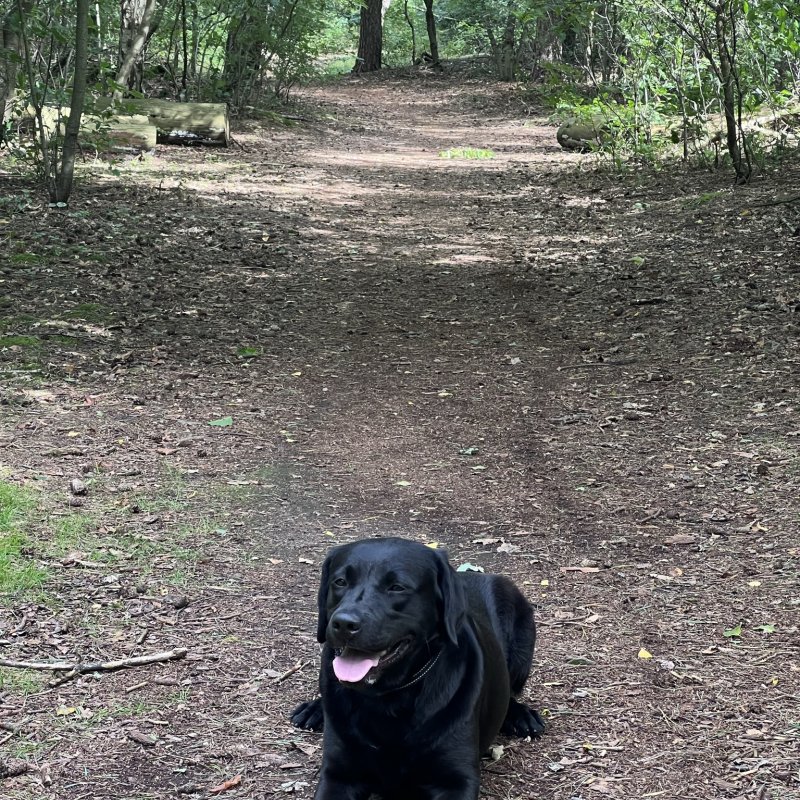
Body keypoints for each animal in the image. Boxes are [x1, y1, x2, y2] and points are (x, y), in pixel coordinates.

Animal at [290, 536, 544, 800]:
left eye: (397, 587)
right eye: (340, 582)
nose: (343, 624)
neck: (388, 698)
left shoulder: (456, 781)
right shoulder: (339, 774)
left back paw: (521, 715)